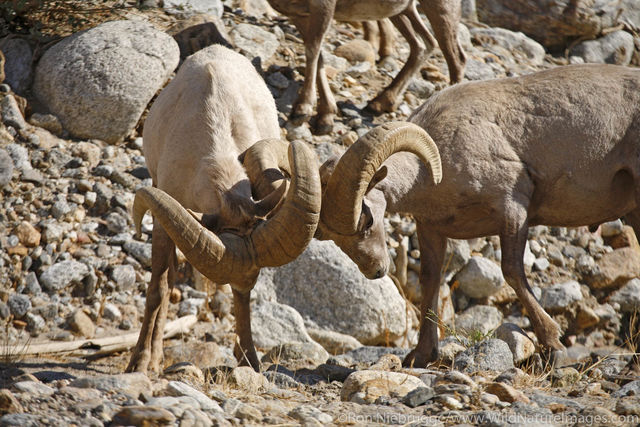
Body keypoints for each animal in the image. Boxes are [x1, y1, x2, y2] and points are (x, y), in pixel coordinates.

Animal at [126, 44, 321, 373]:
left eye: (251, 281)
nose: (250, 362)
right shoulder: (163, 217)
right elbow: (158, 290)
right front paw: (139, 363)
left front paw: (250, 361)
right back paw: (154, 359)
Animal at [267, 0, 466, 134]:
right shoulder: (299, 15)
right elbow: (318, 58)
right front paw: (325, 118)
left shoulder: (322, 7)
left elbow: (312, 52)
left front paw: (302, 111)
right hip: (402, 11)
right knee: (424, 44)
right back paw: (378, 103)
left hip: (440, 8)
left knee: (456, 59)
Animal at [313, 63, 640, 367]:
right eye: (334, 239)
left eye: (367, 219)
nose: (376, 270)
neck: (433, 169)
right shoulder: (431, 229)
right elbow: (430, 281)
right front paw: (421, 356)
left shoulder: (512, 208)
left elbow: (512, 271)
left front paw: (553, 345)